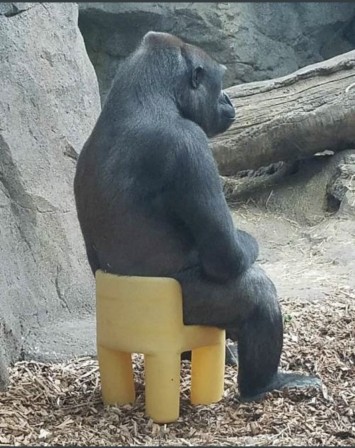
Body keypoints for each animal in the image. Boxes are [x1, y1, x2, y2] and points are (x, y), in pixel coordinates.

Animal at [75, 31, 322, 402]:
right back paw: (262, 384)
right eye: (218, 83)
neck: (143, 98)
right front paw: (246, 244)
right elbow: (227, 255)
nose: (229, 99)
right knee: (257, 290)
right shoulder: (190, 145)